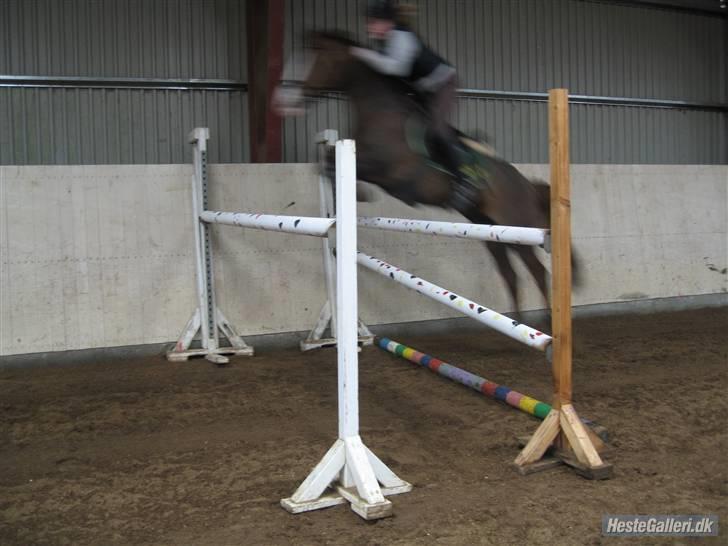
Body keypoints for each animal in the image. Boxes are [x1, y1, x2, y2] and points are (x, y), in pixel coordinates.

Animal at [272, 30, 580, 318]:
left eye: (313, 57)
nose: (283, 101)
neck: (381, 111)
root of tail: (527, 185)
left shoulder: (388, 170)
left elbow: (334, 164)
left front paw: (359, 192)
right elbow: (325, 163)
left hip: (516, 226)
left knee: (538, 272)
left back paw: (546, 329)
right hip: (489, 229)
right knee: (510, 274)